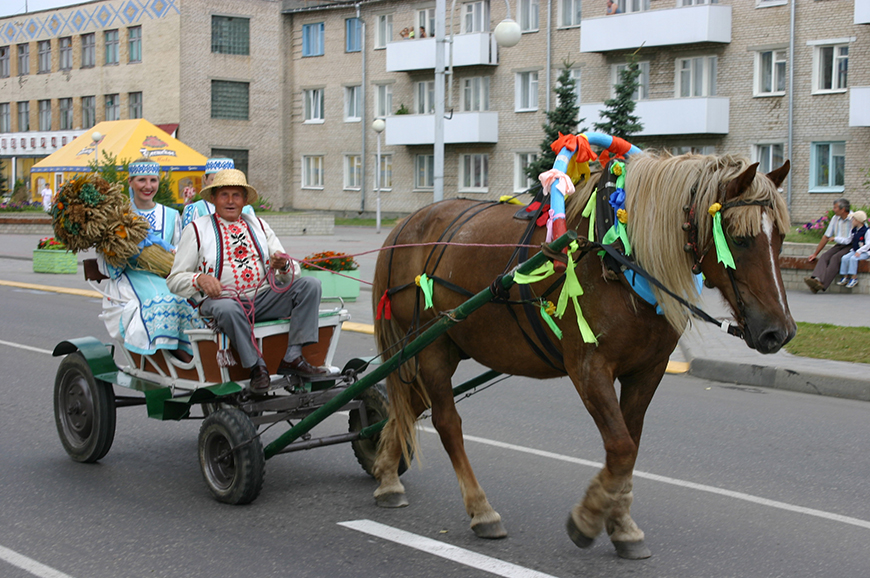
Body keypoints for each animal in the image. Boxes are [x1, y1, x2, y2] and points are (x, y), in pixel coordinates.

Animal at [368, 151, 796, 556]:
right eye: (739, 239)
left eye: (779, 239)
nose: (779, 332)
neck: (618, 256)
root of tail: (406, 227)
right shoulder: (589, 368)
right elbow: (621, 448)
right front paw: (589, 518)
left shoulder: (647, 371)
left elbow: (630, 448)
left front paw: (621, 524)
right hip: (432, 347)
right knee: (446, 422)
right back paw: (480, 509)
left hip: (448, 345)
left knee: (408, 404)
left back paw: (386, 474)